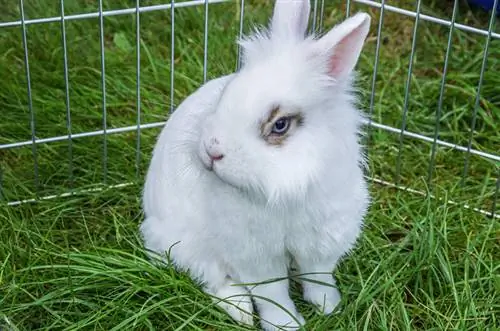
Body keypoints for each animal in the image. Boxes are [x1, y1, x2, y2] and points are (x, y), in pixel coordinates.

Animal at [141, 1, 372, 330]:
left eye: (280, 124)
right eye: (227, 91)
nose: (212, 150)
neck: (288, 188)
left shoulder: (323, 240)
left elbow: (318, 276)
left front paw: (329, 306)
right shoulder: (256, 255)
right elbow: (272, 294)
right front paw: (286, 324)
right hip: (186, 245)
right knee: (213, 280)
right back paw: (241, 311)